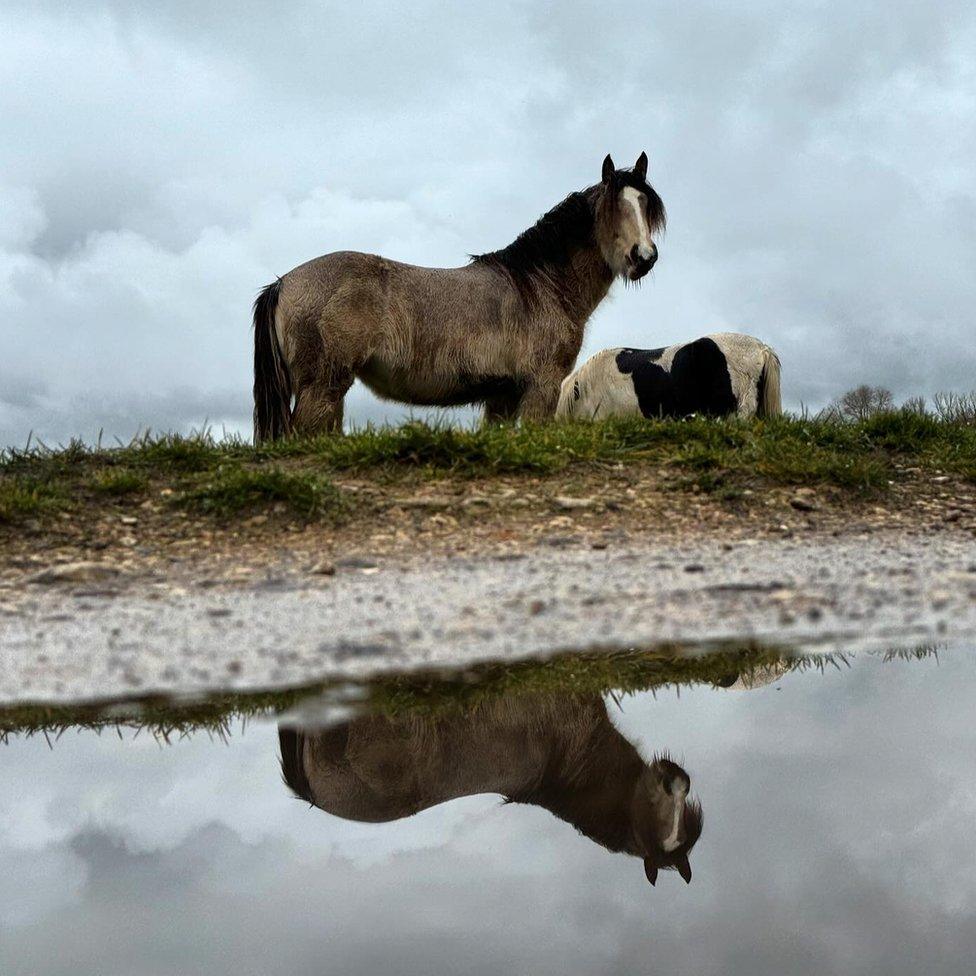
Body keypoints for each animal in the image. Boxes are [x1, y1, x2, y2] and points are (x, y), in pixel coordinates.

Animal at [252, 152, 668, 442]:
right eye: (612, 208)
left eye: (646, 206)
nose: (643, 257)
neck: (537, 287)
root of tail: (283, 283)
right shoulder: (542, 386)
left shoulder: (502, 396)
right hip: (323, 386)